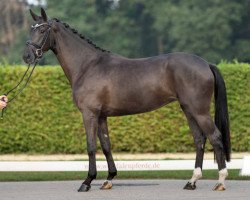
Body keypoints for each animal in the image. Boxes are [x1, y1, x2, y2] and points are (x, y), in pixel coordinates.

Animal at [23, 9, 230, 192]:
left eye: (42, 30)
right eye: (31, 29)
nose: (27, 56)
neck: (88, 66)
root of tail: (206, 64)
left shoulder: (89, 114)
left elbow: (91, 146)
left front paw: (87, 181)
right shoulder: (101, 116)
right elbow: (106, 146)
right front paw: (108, 179)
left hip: (199, 111)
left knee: (215, 137)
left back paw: (220, 182)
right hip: (188, 109)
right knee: (199, 139)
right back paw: (192, 181)